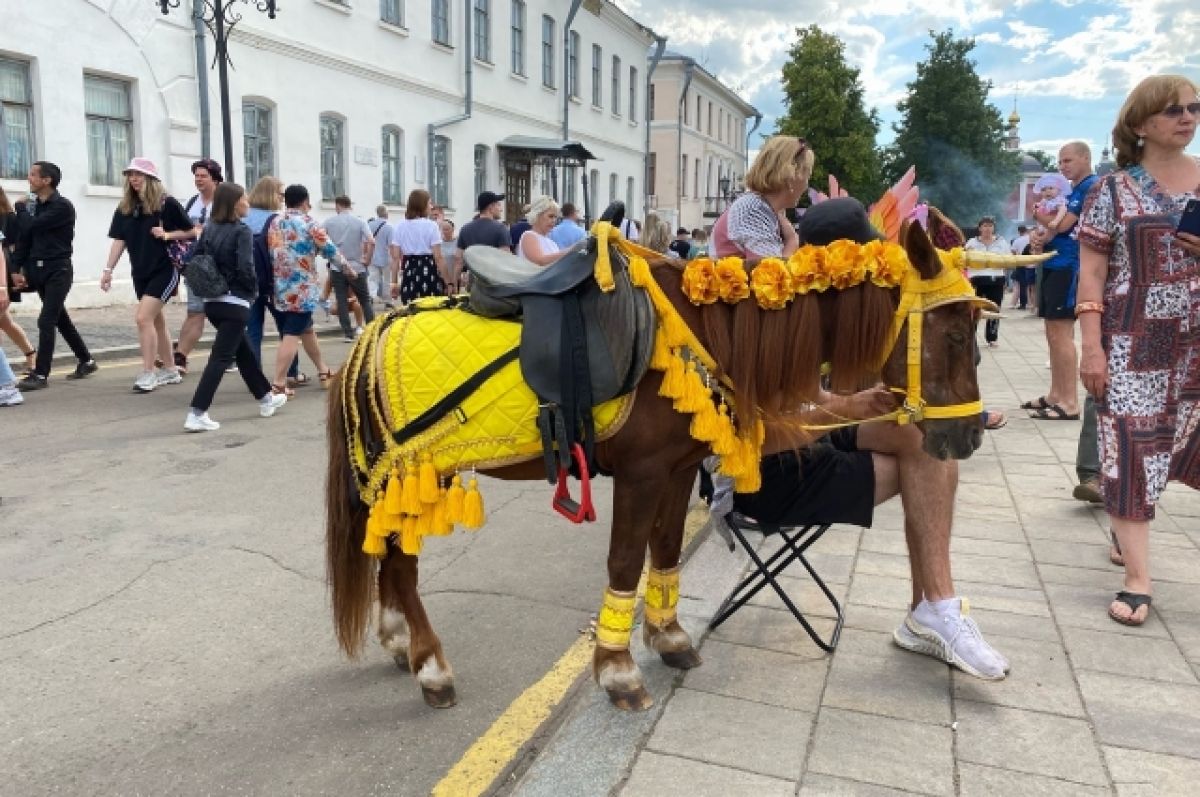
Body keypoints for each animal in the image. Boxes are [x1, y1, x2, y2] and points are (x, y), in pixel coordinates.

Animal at [326, 216, 984, 710]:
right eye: (954, 335)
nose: (971, 435)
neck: (702, 326)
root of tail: (370, 334)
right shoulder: (641, 474)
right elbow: (625, 559)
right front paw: (618, 670)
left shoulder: (676, 469)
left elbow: (663, 550)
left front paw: (668, 637)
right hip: (418, 476)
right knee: (403, 568)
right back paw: (431, 667)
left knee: (387, 560)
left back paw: (398, 642)